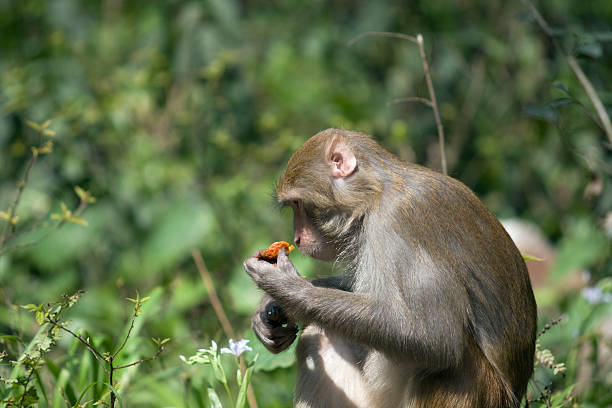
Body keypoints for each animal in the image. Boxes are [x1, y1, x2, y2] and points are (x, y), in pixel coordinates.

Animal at [243, 129, 536, 408]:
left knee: (451, 363)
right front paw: (269, 306)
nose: (297, 238)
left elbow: (435, 337)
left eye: (297, 203)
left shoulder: (397, 222)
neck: (375, 193)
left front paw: (287, 289)